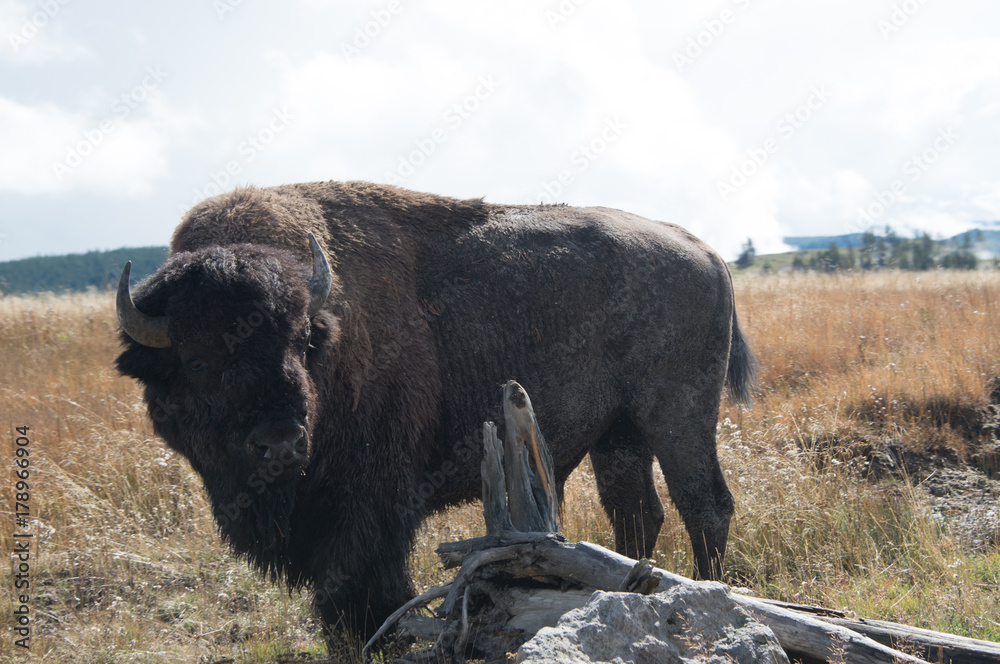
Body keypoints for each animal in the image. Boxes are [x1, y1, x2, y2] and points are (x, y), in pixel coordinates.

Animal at [115, 181, 755, 645]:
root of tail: (703, 250)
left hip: (678, 417)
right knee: (638, 512)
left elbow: (365, 585)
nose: (282, 442)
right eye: (196, 359)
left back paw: (709, 595)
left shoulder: (370, 503)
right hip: (620, 433)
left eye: (301, 342)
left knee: (705, 504)